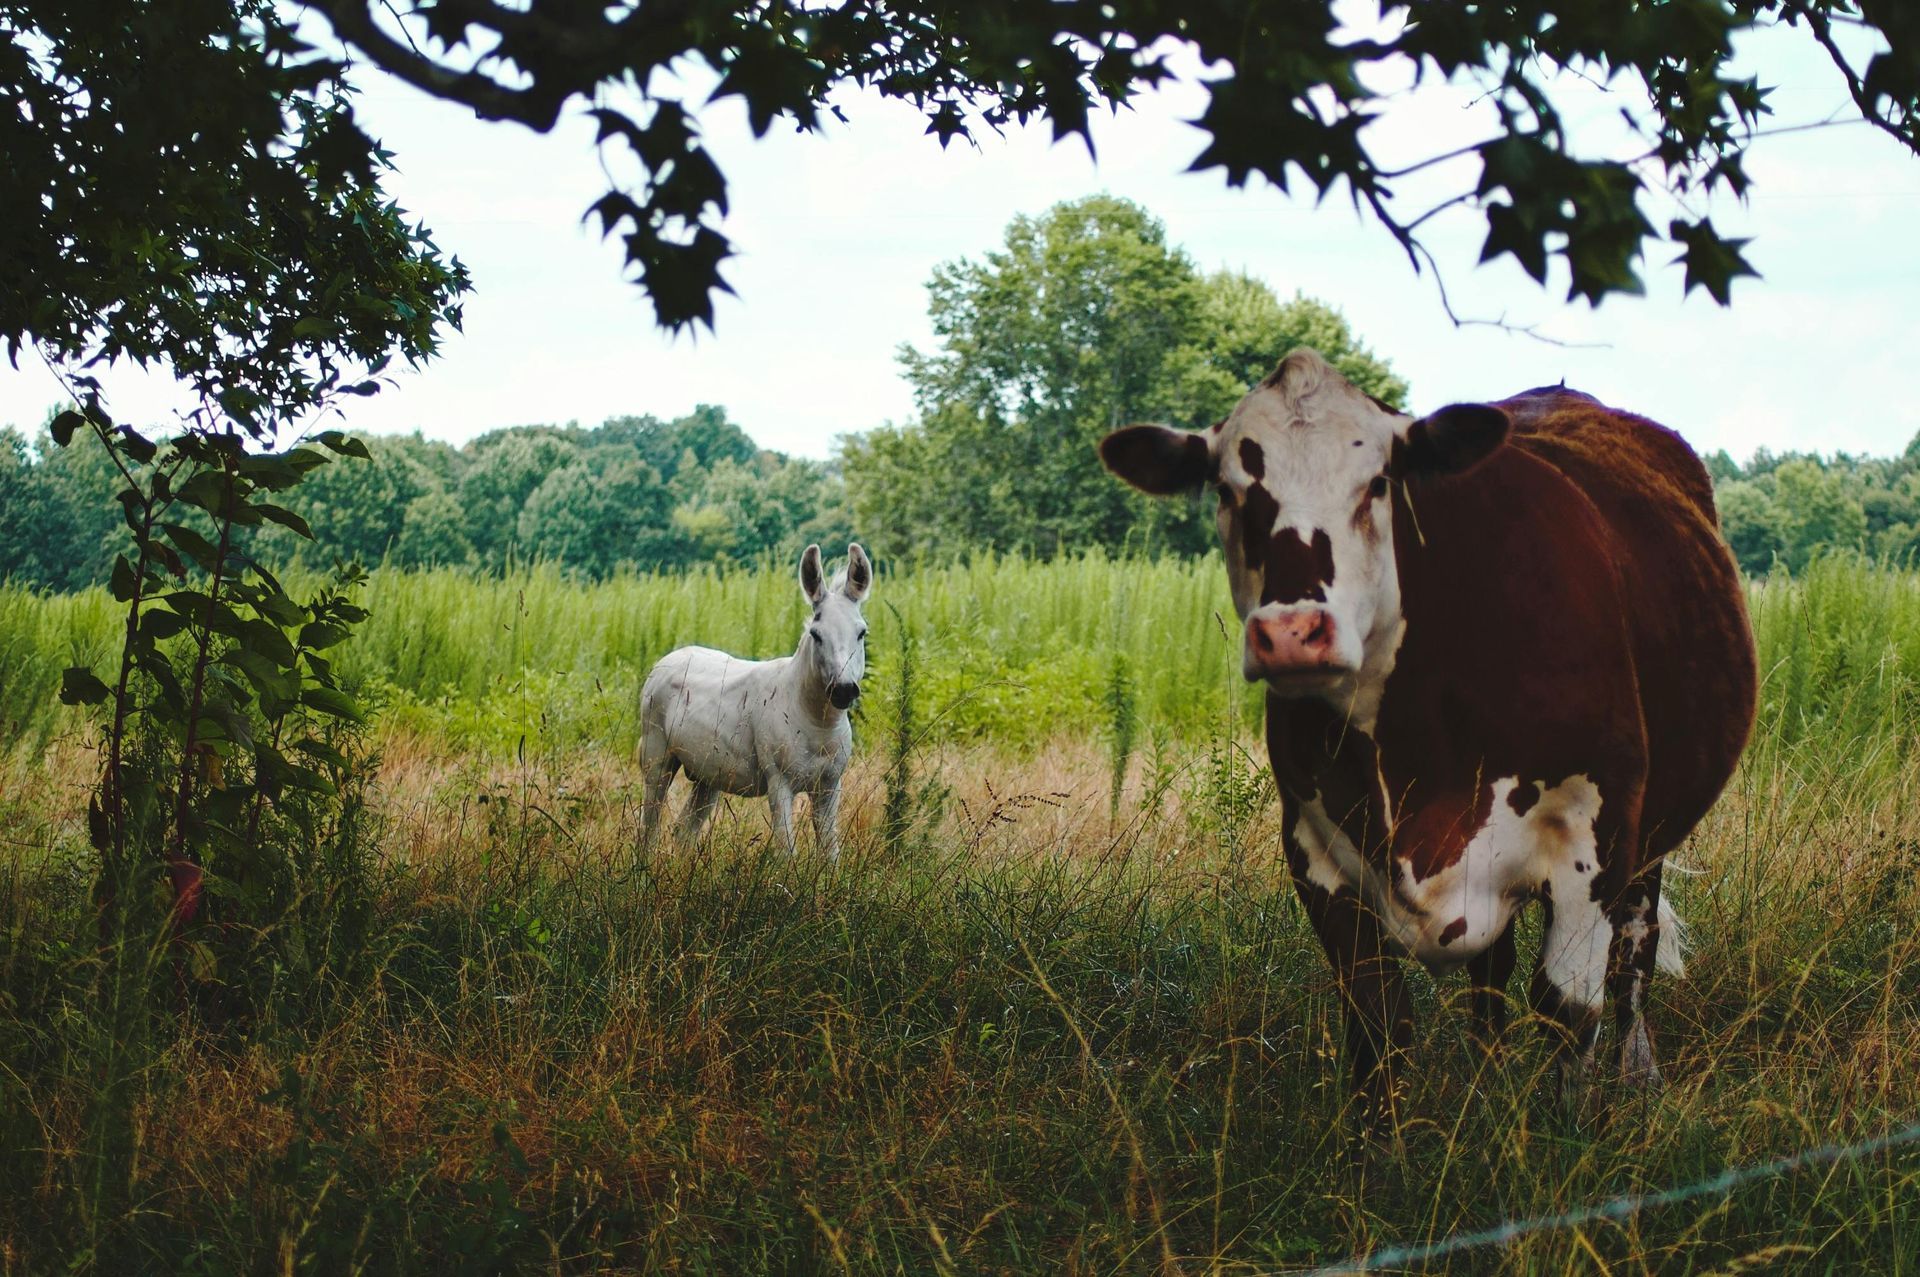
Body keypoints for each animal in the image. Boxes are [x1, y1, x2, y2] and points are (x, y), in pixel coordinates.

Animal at [639, 543, 872, 857]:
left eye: (861, 633)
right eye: (815, 634)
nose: (844, 691)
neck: (818, 723)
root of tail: (668, 659)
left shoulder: (829, 787)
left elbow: (830, 854)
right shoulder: (780, 783)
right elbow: (787, 854)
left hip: (707, 774)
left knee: (683, 831)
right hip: (657, 758)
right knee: (649, 827)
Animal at [1100, 348, 1756, 1123]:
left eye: (1379, 479)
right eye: (1229, 491)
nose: (1291, 632)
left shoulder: (1594, 840)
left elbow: (1567, 1012)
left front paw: (1566, 1137)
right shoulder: (1316, 851)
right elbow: (1379, 1026)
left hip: (1651, 834)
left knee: (1635, 951)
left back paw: (1637, 1072)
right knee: (1493, 971)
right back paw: (1485, 1076)